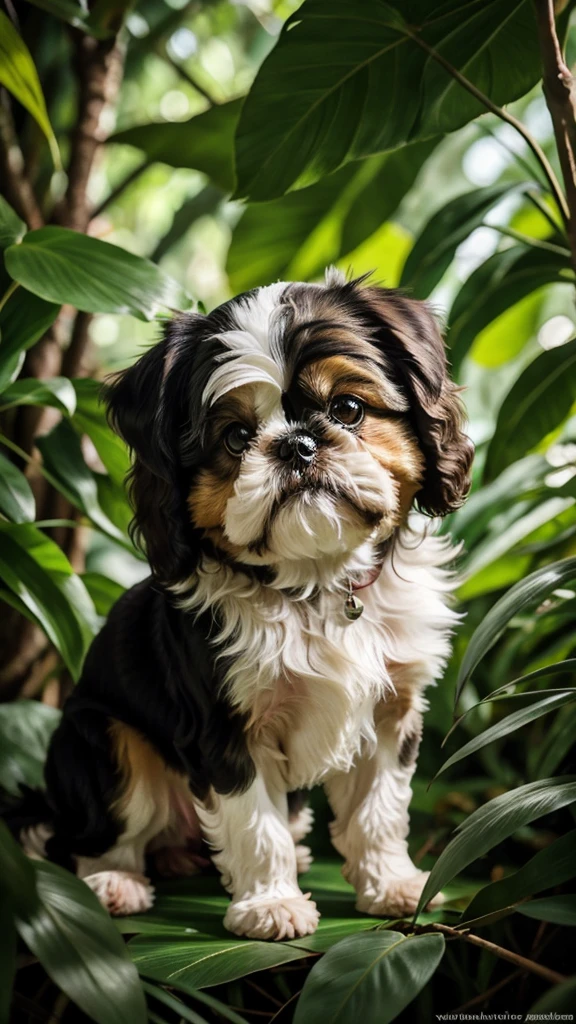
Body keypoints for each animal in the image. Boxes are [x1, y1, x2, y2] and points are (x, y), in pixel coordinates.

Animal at [21, 270, 471, 937]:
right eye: (235, 438)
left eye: (348, 409)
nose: (297, 445)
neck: (318, 588)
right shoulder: (225, 728)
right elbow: (256, 825)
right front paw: (271, 905)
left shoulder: (393, 713)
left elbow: (380, 809)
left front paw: (391, 884)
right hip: (102, 738)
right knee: (99, 834)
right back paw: (115, 883)